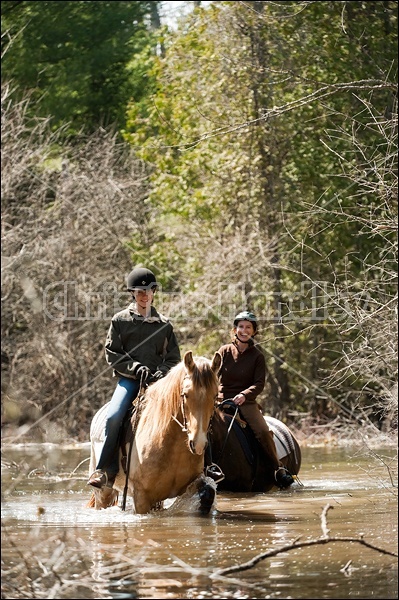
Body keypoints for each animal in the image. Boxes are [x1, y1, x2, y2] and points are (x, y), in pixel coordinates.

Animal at [87, 352, 222, 516]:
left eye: (215, 396)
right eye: (185, 394)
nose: (198, 443)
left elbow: (207, 492)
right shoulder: (141, 498)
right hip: (103, 493)